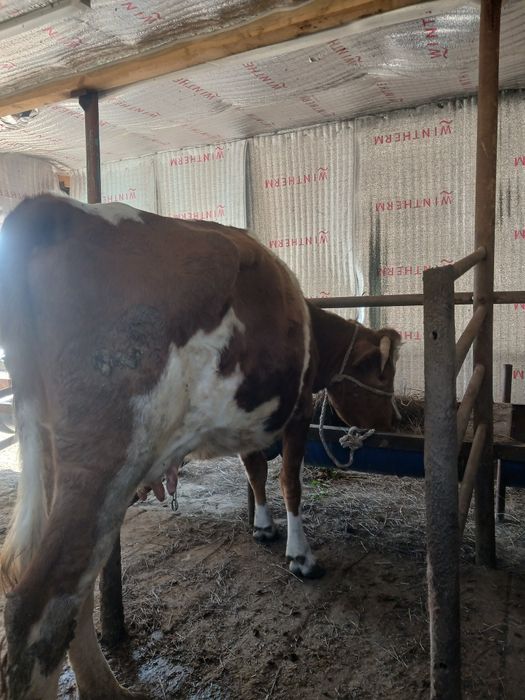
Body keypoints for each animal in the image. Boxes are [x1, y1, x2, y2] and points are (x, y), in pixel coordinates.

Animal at [0, 194, 401, 699]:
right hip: (108, 457)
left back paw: (105, 685)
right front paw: (301, 556)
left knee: (72, 589)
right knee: (40, 607)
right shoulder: (299, 412)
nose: (395, 420)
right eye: (384, 375)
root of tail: (57, 209)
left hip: (52, 451)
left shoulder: (250, 422)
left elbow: (254, 471)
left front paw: (263, 527)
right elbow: (290, 482)